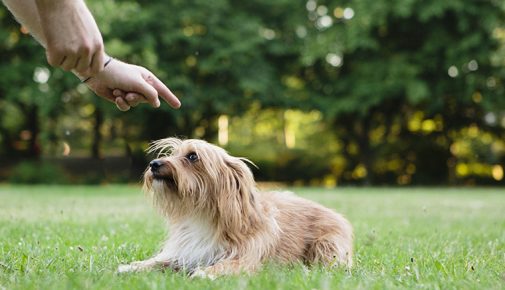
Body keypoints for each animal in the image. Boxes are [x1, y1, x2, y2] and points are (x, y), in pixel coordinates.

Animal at [118, 137, 352, 278]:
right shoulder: (186, 252)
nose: (153, 164)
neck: (202, 214)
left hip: (325, 246)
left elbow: (227, 265)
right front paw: (132, 266)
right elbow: (158, 262)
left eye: (193, 156)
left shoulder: (246, 258)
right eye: (172, 153)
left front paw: (205, 273)